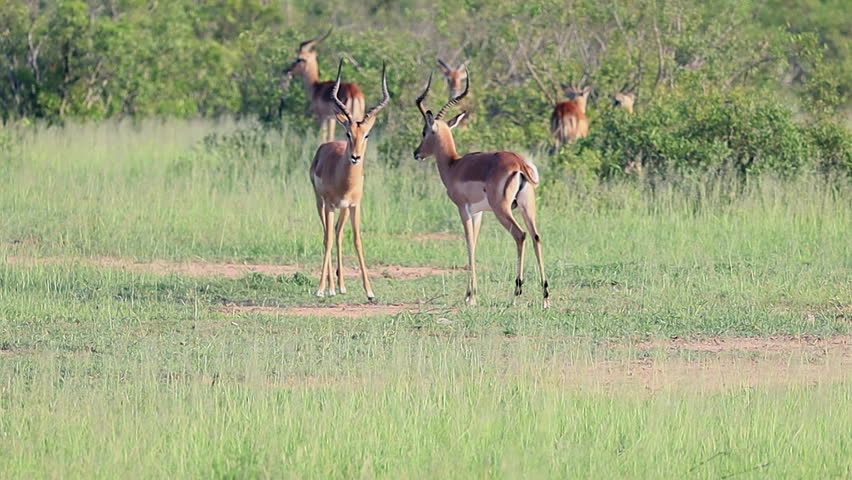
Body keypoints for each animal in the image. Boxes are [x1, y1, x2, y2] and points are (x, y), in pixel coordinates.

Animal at [310, 60, 389, 301]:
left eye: (366, 135)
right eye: (348, 133)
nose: (355, 157)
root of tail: (325, 146)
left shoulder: (355, 205)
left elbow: (357, 240)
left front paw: (370, 291)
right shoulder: (329, 204)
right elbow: (326, 240)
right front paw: (320, 289)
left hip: (343, 209)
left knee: (337, 233)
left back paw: (340, 285)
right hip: (320, 203)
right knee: (326, 235)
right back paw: (329, 287)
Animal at [413, 72, 549, 307]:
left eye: (424, 131)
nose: (417, 153)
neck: (454, 165)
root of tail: (519, 163)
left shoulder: (463, 209)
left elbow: (469, 243)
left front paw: (470, 296)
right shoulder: (478, 212)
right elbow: (475, 244)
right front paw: (471, 294)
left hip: (502, 209)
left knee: (520, 235)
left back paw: (517, 292)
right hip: (527, 206)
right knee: (536, 237)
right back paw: (545, 297)